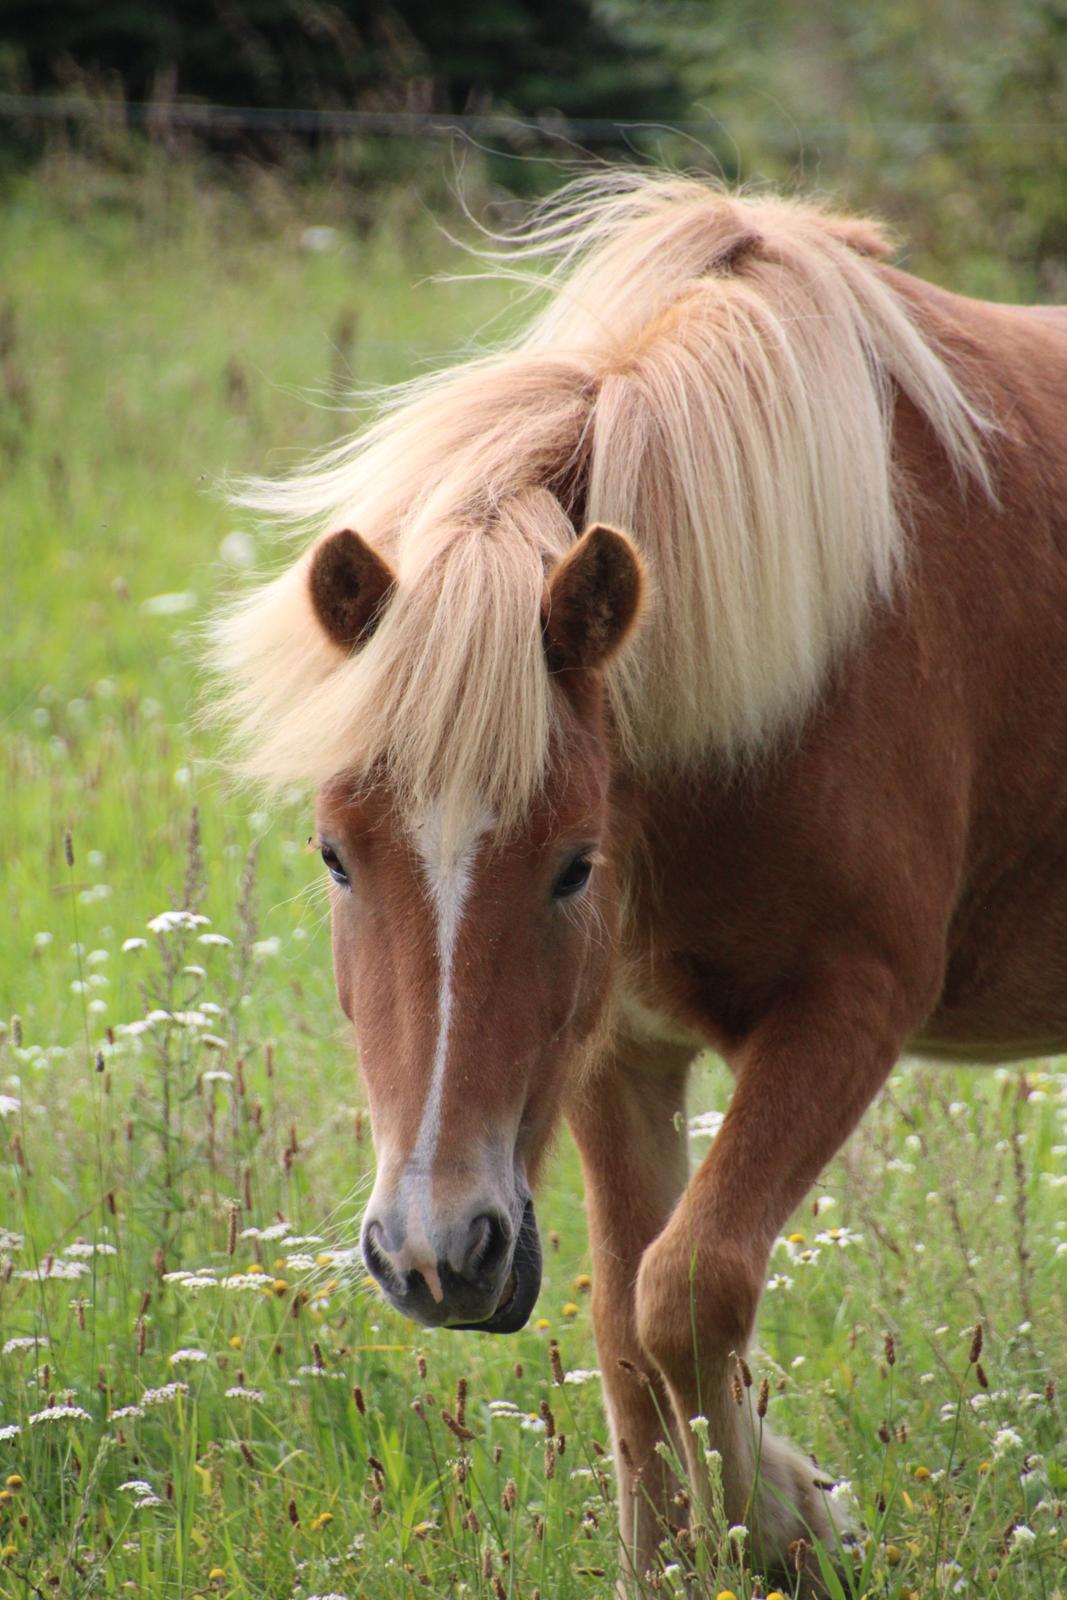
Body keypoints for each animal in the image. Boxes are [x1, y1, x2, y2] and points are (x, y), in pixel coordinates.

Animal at [212, 175, 1067, 1587]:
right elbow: (624, 1322)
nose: (433, 1254)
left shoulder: (850, 1007)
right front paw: (688, 1547)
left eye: (574, 863)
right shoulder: (618, 1048)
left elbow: (690, 1289)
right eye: (335, 854)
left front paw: (789, 1519)